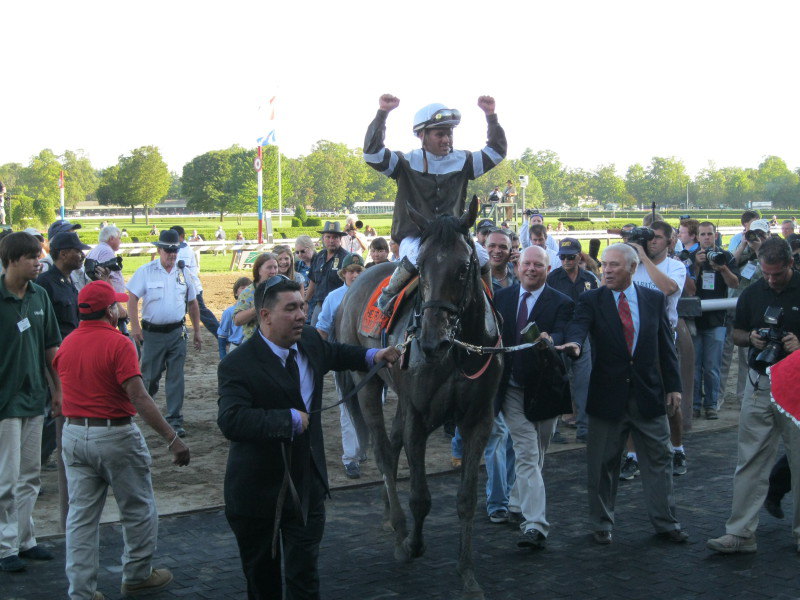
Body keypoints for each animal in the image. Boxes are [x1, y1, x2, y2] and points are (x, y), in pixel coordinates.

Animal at [336, 198, 500, 600]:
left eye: (463, 269)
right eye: (421, 267)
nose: (431, 341)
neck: (457, 351)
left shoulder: (478, 420)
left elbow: (466, 499)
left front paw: (467, 575)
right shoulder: (419, 416)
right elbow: (421, 497)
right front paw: (411, 543)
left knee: (392, 448)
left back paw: (387, 513)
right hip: (368, 384)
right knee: (382, 450)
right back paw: (397, 526)